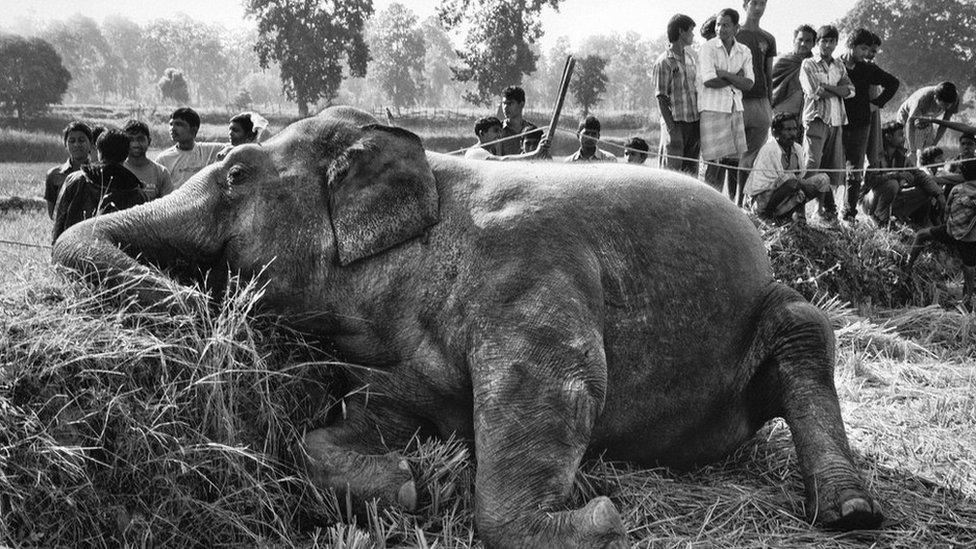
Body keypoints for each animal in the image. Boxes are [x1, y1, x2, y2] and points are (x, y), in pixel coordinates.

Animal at [55, 105, 884, 544]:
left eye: (235, 173)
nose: (195, 309)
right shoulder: (394, 352)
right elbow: (350, 423)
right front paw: (407, 484)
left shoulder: (528, 278)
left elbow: (563, 388)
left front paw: (601, 515)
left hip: (776, 308)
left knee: (807, 339)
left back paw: (851, 510)